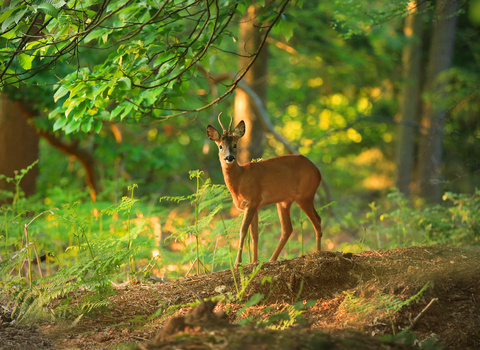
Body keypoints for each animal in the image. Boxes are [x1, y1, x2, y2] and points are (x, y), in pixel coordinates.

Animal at [206, 113, 322, 264]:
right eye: (220, 146)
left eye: (235, 145)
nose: (229, 157)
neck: (240, 179)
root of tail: (318, 173)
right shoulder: (254, 206)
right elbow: (255, 234)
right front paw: (254, 261)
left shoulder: (253, 201)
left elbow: (243, 230)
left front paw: (238, 263)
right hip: (285, 201)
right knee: (289, 228)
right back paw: (272, 259)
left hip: (304, 195)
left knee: (316, 221)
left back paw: (318, 253)